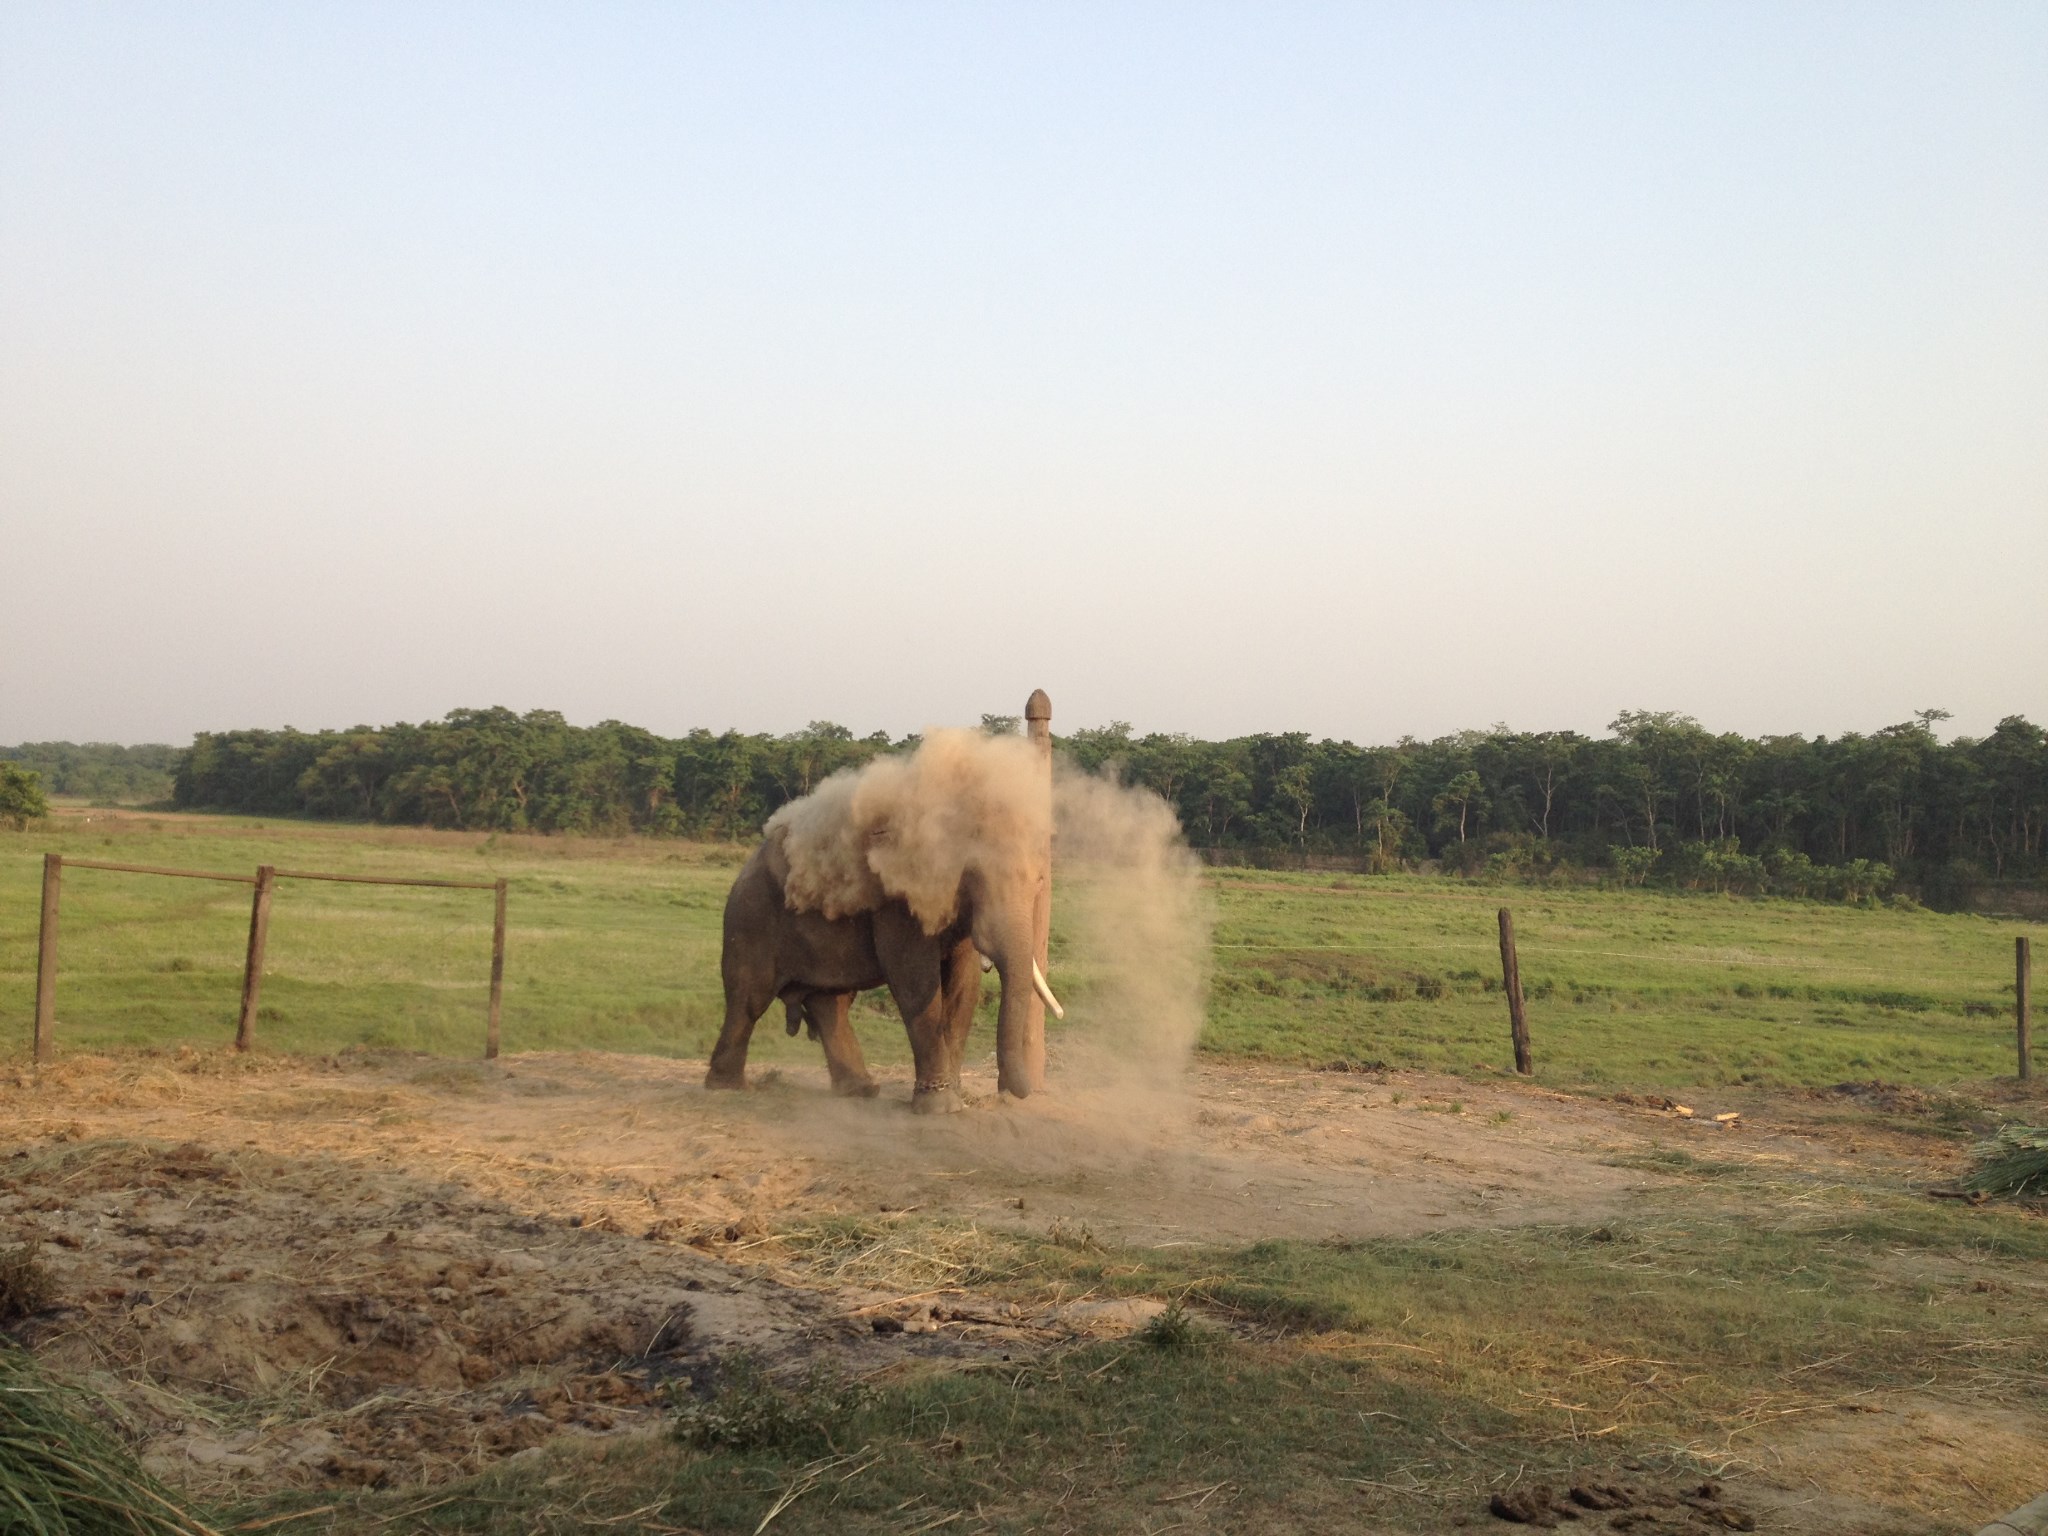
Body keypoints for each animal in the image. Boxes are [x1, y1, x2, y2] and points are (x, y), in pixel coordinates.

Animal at [704, 696, 1064, 1122]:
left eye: (1039, 881)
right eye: (972, 876)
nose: (1012, 1090)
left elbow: (964, 985)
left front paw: (954, 1099)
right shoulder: (898, 902)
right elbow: (915, 979)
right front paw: (939, 1106)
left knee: (830, 1002)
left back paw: (860, 1090)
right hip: (749, 920)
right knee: (749, 999)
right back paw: (726, 1087)